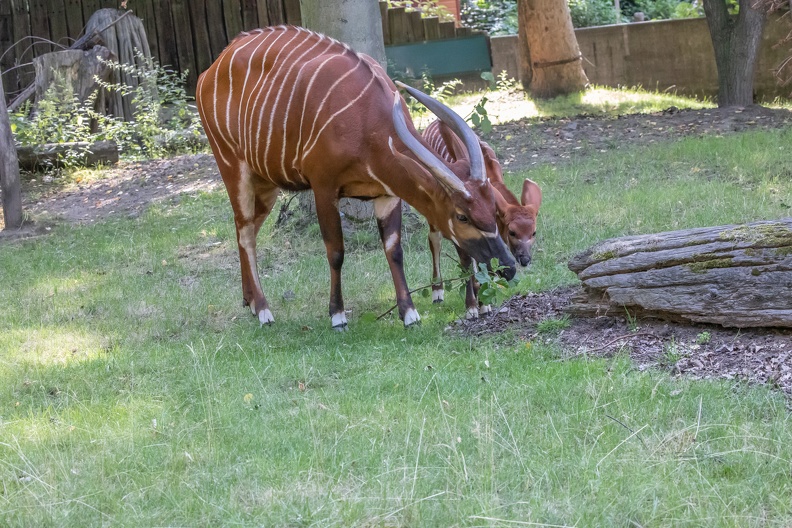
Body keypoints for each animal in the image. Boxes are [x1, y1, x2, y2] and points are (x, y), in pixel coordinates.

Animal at [198, 26, 516, 330]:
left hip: (266, 184)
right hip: (232, 166)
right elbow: (336, 251)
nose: (508, 267)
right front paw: (337, 316)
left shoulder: (387, 194)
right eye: (462, 216)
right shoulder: (323, 188)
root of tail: (209, 70)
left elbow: (394, 249)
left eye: (493, 206)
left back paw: (250, 301)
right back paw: (264, 310)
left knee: (248, 228)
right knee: (246, 233)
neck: (366, 122)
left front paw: (409, 314)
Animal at [424, 119, 540, 318]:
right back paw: (437, 292)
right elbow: (466, 261)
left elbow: (484, 259)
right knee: (434, 239)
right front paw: (471, 306)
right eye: (512, 232)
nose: (525, 259)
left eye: (533, 232)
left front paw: (485, 301)